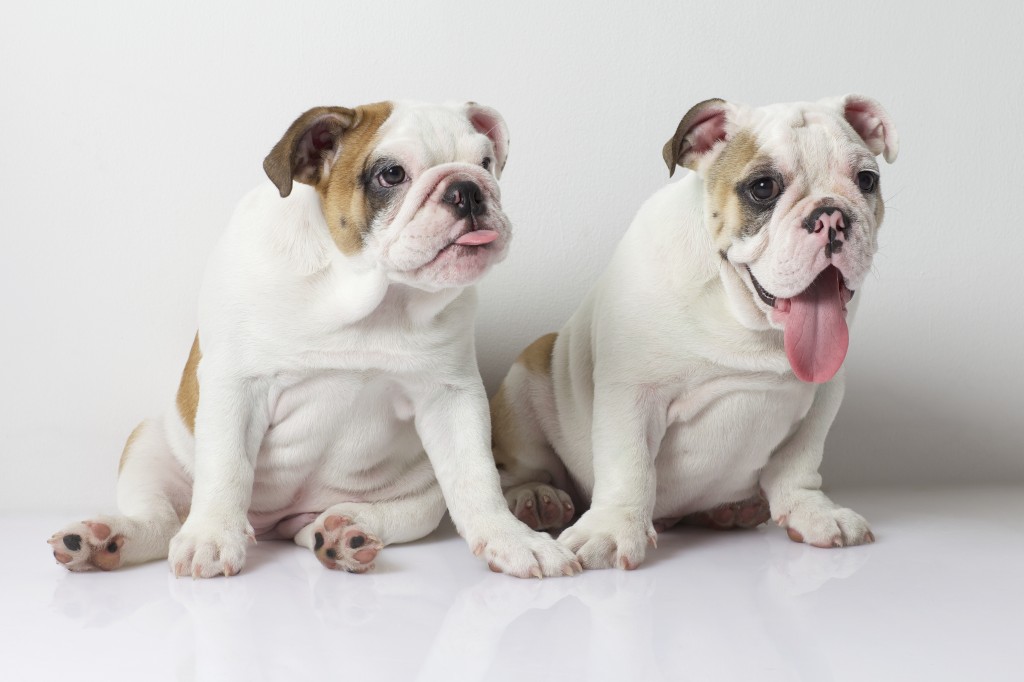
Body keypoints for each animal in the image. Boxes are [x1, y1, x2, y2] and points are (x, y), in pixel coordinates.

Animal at [48, 99, 585, 577]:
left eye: (486, 163)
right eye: (392, 174)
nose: (468, 188)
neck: (363, 290)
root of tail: (273, 525)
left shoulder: (452, 397)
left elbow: (477, 481)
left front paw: (512, 540)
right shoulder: (236, 386)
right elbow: (226, 470)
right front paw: (211, 537)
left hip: (419, 491)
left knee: (366, 519)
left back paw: (344, 535)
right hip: (147, 444)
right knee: (161, 518)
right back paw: (104, 541)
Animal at [491, 94, 901, 569]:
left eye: (867, 180)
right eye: (763, 187)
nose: (831, 216)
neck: (744, 318)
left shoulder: (824, 395)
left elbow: (800, 462)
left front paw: (813, 511)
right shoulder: (632, 392)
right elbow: (629, 466)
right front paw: (611, 531)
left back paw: (730, 509)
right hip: (527, 375)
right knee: (520, 467)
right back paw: (537, 497)